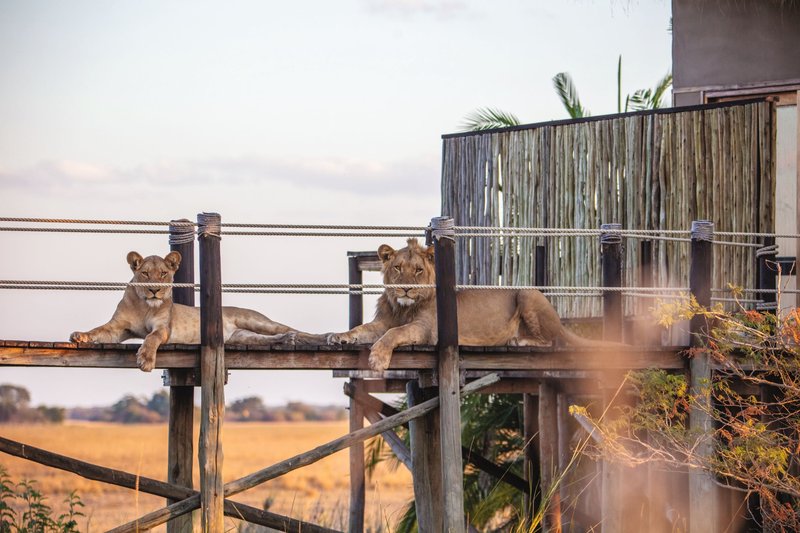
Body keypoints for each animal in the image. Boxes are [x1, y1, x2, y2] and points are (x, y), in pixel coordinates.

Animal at [70, 251, 301, 372]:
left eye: (163, 273)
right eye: (145, 273)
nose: (154, 290)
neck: (144, 305)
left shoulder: (164, 328)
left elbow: (151, 338)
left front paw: (146, 359)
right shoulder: (117, 329)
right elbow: (98, 330)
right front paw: (80, 336)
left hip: (256, 320)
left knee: (291, 329)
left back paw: (302, 337)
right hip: (243, 337)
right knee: (265, 339)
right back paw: (285, 340)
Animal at [328, 238, 621, 372]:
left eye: (419, 270)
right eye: (398, 268)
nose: (407, 288)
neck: (403, 306)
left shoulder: (426, 330)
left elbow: (394, 333)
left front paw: (377, 359)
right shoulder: (381, 322)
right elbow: (361, 329)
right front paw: (337, 336)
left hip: (527, 294)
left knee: (550, 341)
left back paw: (518, 340)